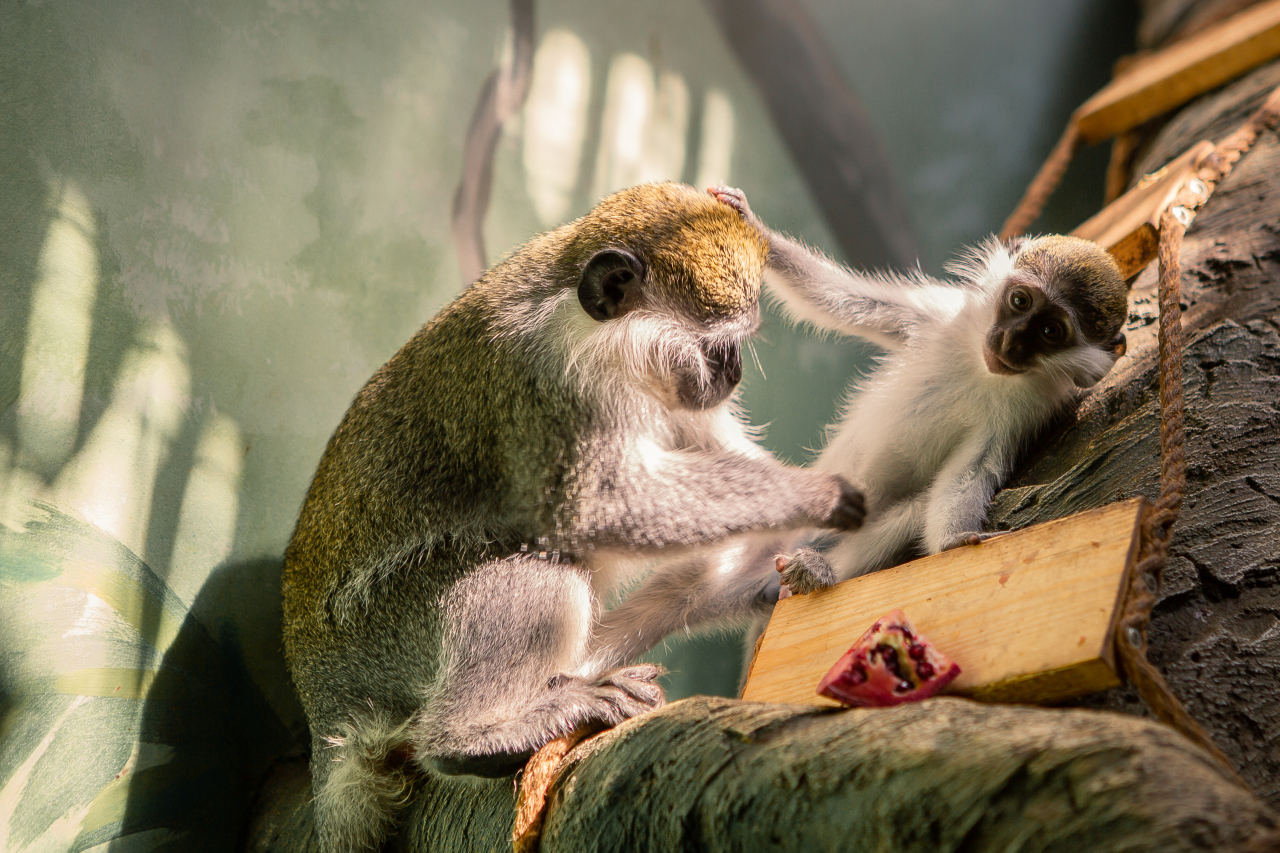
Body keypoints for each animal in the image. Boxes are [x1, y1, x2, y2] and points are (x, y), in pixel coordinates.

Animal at [279, 180, 860, 850]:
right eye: (719, 346)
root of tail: (321, 704)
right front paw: (820, 494)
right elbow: (599, 507)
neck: (586, 327)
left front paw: (789, 570)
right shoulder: (545, 379)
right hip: (382, 640)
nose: (733, 373)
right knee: (534, 568)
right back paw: (472, 738)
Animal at [711, 183, 1131, 589]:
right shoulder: (936, 312)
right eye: (1020, 300)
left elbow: (972, 470)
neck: (983, 369)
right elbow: (842, 300)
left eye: (1050, 332)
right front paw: (755, 226)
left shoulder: (1025, 415)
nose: (1012, 341)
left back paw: (815, 571)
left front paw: (956, 540)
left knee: (914, 511)